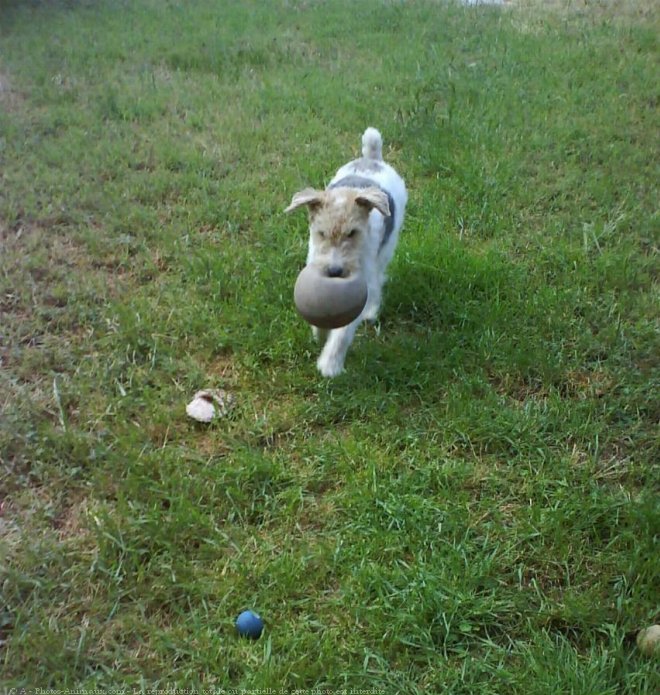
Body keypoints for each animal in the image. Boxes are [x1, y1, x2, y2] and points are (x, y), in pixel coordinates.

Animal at [288, 125, 408, 376]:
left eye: (353, 233)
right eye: (321, 233)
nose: (334, 271)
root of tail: (372, 158)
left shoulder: (360, 286)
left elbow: (342, 333)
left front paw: (329, 365)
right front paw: (320, 334)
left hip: (386, 248)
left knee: (378, 281)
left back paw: (371, 312)